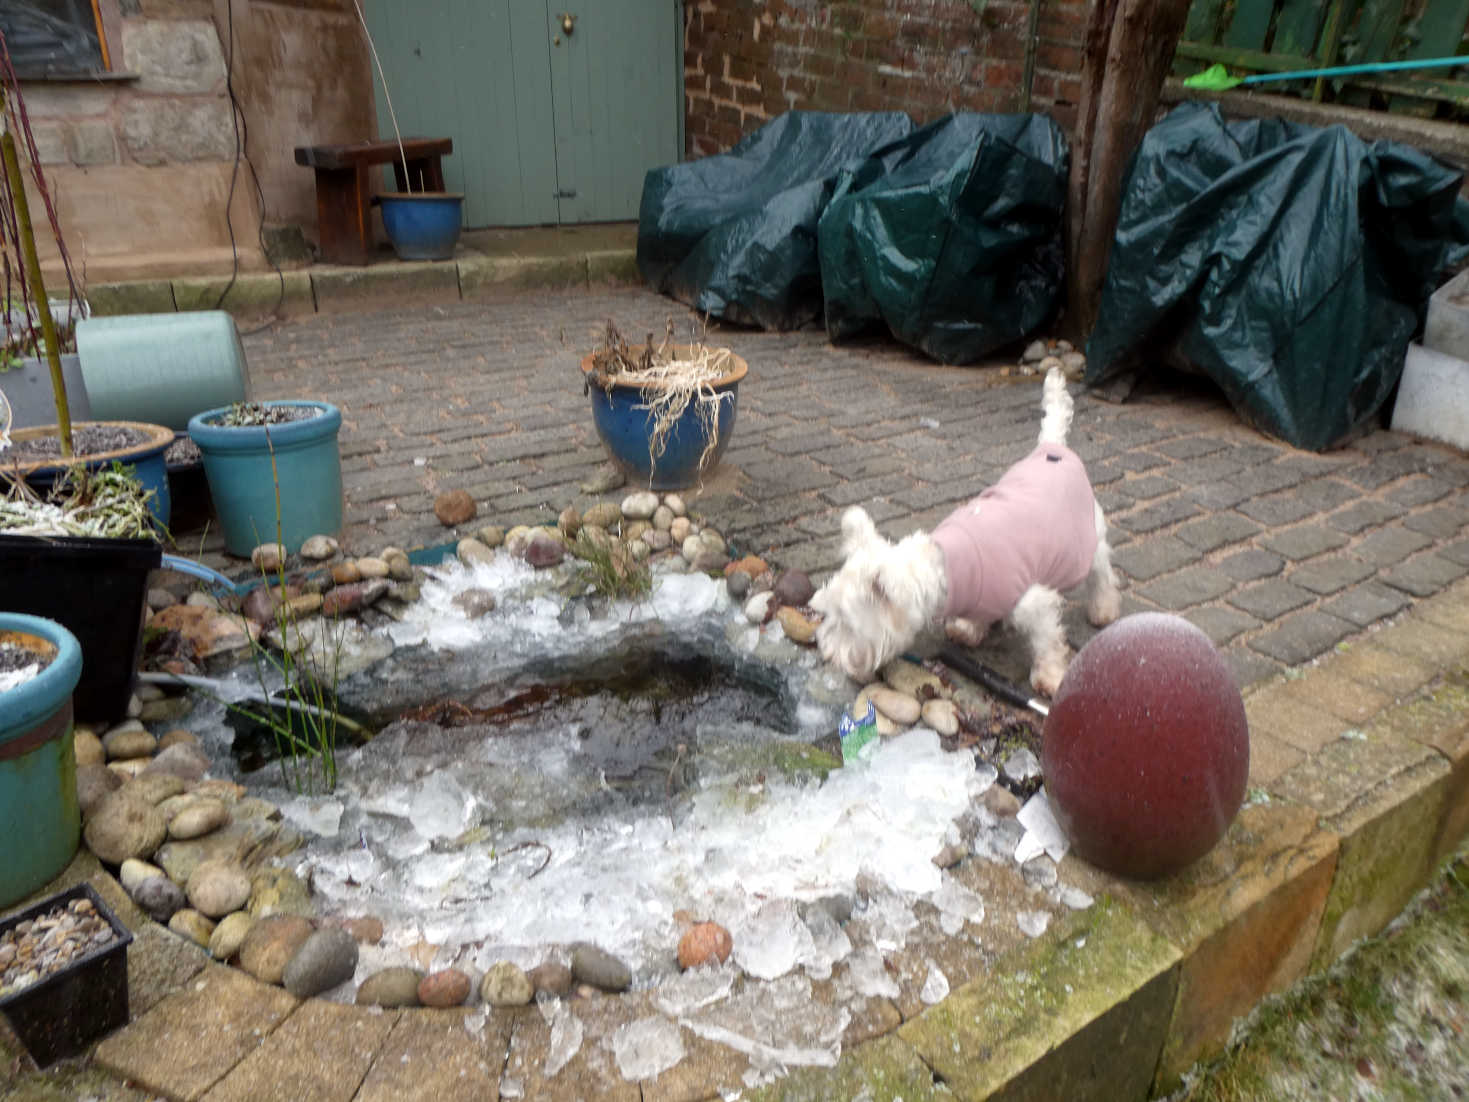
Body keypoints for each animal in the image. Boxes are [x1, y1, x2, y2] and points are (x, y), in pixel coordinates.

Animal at [810, 371, 1116, 699]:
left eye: (846, 623)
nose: (825, 653)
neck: (946, 570)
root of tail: (1053, 448)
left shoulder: (1034, 603)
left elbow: (1046, 641)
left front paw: (1050, 677)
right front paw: (969, 629)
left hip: (1089, 537)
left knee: (1102, 575)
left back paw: (1103, 610)